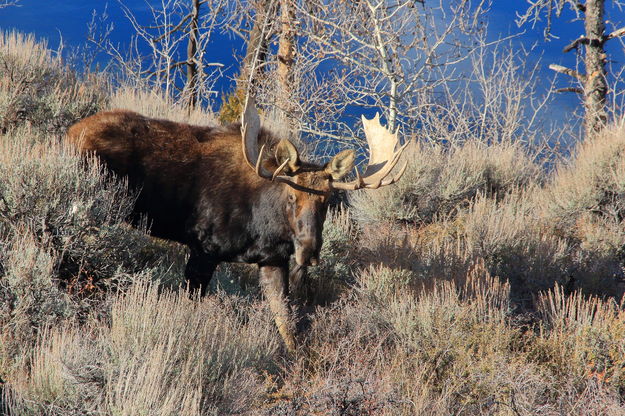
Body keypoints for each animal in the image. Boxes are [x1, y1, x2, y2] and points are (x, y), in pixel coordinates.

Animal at [66, 98, 408, 352]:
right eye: (291, 196)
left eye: (326, 200)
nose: (309, 250)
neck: (262, 226)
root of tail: (71, 131)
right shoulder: (203, 250)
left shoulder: (272, 260)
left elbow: (286, 322)